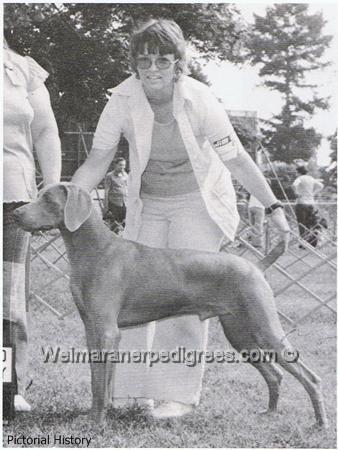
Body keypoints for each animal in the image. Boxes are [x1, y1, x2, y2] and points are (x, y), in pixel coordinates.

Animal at [13, 185, 328, 428]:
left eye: (48, 199)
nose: (15, 213)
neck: (95, 251)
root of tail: (257, 265)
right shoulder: (93, 330)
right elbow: (98, 380)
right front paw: (95, 416)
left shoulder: (107, 331)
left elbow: (101, 384)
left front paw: (97, 423)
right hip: (239, 333)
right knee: (275, 374)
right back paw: (270, 412)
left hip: (265, 329)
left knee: (311, 377)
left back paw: (320, 423)